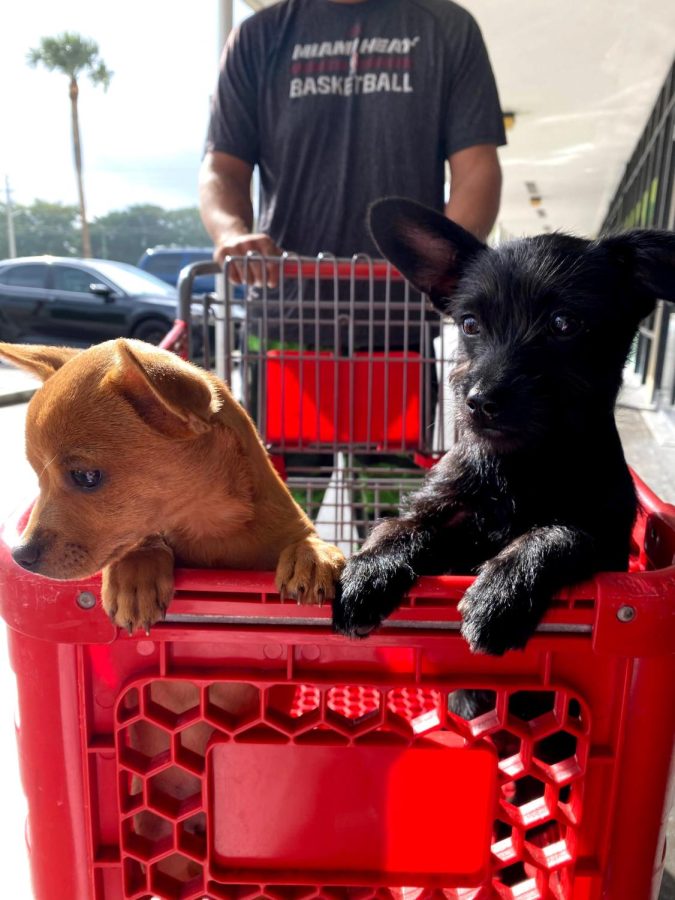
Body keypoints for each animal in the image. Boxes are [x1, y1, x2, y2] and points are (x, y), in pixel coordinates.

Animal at [0, 338, 346, 624]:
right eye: (38, 476)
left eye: (87, 477)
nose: (19, 555)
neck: (210, 525)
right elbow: (145, 538)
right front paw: (135, 573)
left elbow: (306, 538)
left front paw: (313, 554)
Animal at [334, 199, 675, 652]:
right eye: (469, 324)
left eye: (564, 324)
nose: (479, 402)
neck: (520, 464)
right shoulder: (446, 510)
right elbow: (400, 524)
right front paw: (367, 570)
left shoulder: (606, 541)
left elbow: (561, 533)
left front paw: (503, 591)